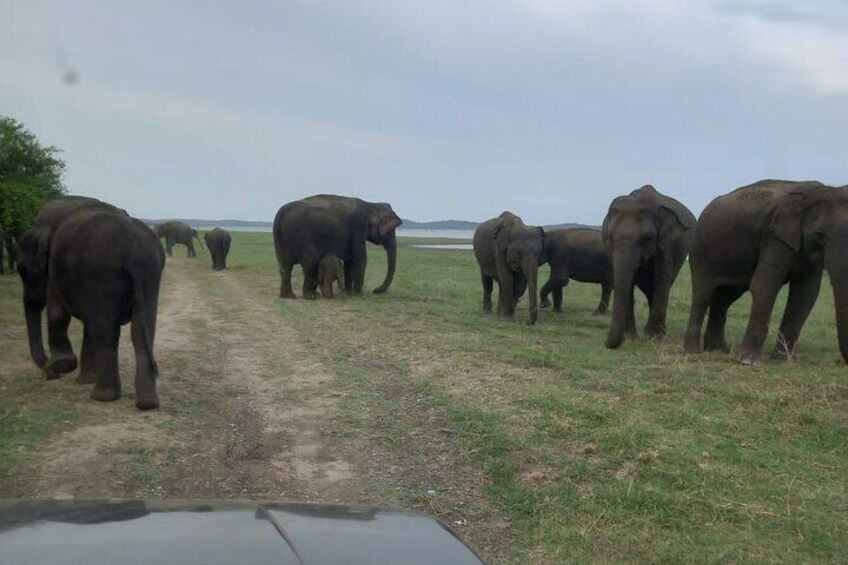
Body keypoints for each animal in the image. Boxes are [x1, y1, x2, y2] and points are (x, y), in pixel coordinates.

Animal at [40, 209, 165, 408]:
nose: (48, 374)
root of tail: (133, 250)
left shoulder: (54, 267)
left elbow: (57, 312)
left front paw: (63, 366)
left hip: (102, 273)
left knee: (106, 332)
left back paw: (102, 397)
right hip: (150, 272)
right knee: (140, 331)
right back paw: (147, 403)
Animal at [274, 194, 402, 298]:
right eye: (391, 230)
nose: (375, 290)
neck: (370, 205)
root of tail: (280, 215)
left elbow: (350, 261)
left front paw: (349, 292)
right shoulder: (358, 227)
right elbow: (360, 258)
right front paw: (358, 294)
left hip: (281, 241)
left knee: (285, 266)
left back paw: (288, 296)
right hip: (302, 239)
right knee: (310, 263)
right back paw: (311, 296)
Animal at [600, 184, 692, 348]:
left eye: (647, 237)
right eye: (610, 236)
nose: (606, 340)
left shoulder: (666, 244)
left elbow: (663, 278)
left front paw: (654, 337)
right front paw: (631, 337)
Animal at [684, 182, 848, 366]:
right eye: (820, 236)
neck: (820, 190)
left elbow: (806, 295)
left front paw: (784, 360)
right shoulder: (773, 238)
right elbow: (765, 285)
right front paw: (747, 362)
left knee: (724, 298)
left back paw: (718, 350)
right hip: (701, 251)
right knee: (703, 294)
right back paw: (692, 352)